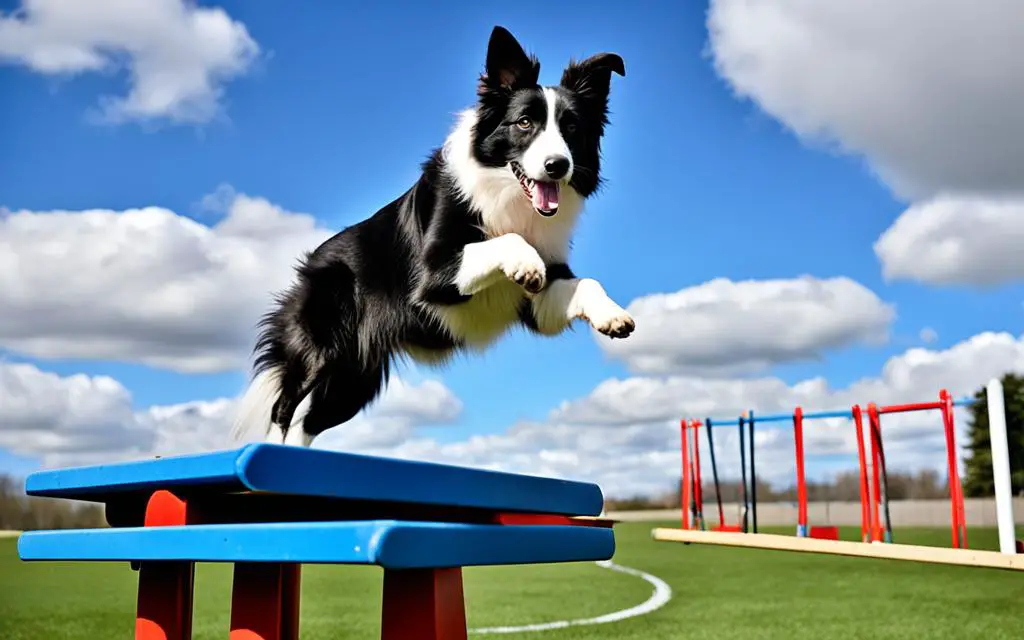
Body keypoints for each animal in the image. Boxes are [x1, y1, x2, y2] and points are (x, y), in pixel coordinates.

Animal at [233, 24, 634, 444]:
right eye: (524, 123)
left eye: (572, 127)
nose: (557, 165)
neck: (508, 197)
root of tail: (310, 263)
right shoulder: (435, 273)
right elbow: (507, 242)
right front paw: (525, 263)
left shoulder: (540, 306)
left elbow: (584, 283)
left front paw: (612, 315)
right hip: (321, 347)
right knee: (284, 408)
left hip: (353, 377)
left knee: (309, 420)